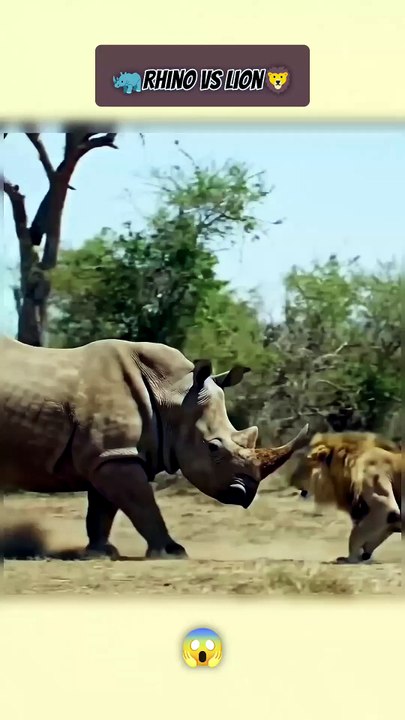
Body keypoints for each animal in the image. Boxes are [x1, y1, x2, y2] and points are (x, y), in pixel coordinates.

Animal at [0, 336, 309, 559]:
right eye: (213, 448)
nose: (245, 494)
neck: (174, 394)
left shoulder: (111, 454)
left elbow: (103, 509)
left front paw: (100, 553)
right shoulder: (116, 457)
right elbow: (142, 504)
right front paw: (173, 552)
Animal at [301, 432, 402, 564]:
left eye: (309, 467)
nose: (302, 492)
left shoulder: (384, 506)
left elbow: (355, 534)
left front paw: (350, 559)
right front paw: (363, 555)